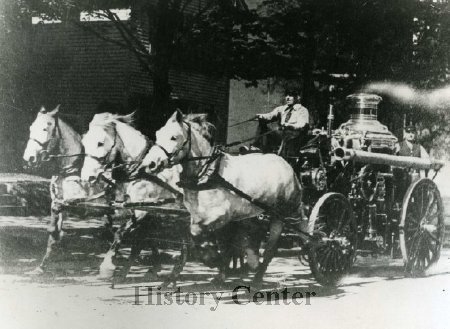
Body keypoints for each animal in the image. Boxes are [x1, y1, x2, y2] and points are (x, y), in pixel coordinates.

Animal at [22, 105, 89, 274]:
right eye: (31, 128)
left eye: (45, 128)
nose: (28, 158)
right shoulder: (57, 201)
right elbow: (53, 228)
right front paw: (43, 264)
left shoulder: (76, 203)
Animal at [81, 112, 185, 282]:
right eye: (84, 142)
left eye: (100, 143)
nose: (87, 177)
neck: (141, 171)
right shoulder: (135, 208)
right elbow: (142, 236)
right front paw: (154, 266)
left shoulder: (142, 210)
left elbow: (121, 232)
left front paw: (107, 266)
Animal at [142, 110, 308, 282]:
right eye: (157, 134)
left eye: (174, 137)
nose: (149, 164)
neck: (207, 172)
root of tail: (286, 164)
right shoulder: (199, 215)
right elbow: (204, 237)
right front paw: (216, 263)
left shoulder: (221, 215)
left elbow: (198, 233)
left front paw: (213, 260)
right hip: (266, 213)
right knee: (263, 239)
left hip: (287, 211)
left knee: (293, 235)